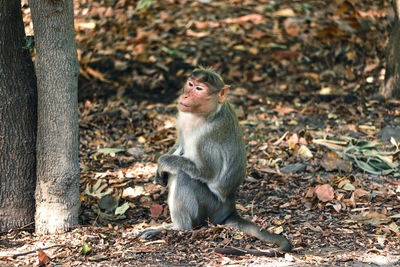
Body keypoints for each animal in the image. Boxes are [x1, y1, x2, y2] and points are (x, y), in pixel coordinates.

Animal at [139, 67, 292, 255]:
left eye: (199, 89)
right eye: (190, 84)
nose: (185, 96)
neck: (203, 114)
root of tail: (229, 208)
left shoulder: (208, 136)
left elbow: (207, 171)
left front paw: (162, 162)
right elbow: (181, 144)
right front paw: (159, 170)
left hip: (210, 207)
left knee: (184, 177)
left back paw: (177, 227)